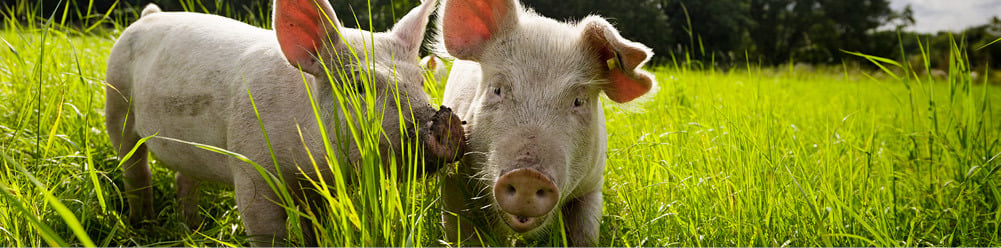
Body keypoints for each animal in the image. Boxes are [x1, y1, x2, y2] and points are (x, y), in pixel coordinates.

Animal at [103, 0, 462, 245]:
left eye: (420, 82)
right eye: (356, 85)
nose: (445, 121)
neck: (306, 166)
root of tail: (150, 14)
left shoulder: (320, 185)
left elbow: (316, 225)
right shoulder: (251, 169)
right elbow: (266, 229)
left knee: (184, 178)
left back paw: (191, 228)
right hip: (116, 104)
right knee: (136, 169)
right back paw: (143, 224)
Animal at [436, 0, 656, 245]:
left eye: (579, 101)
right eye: (497, 89)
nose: (528, 176)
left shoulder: (592, 185)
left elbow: (585, 233)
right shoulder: (454, 177)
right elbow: (462, 231)